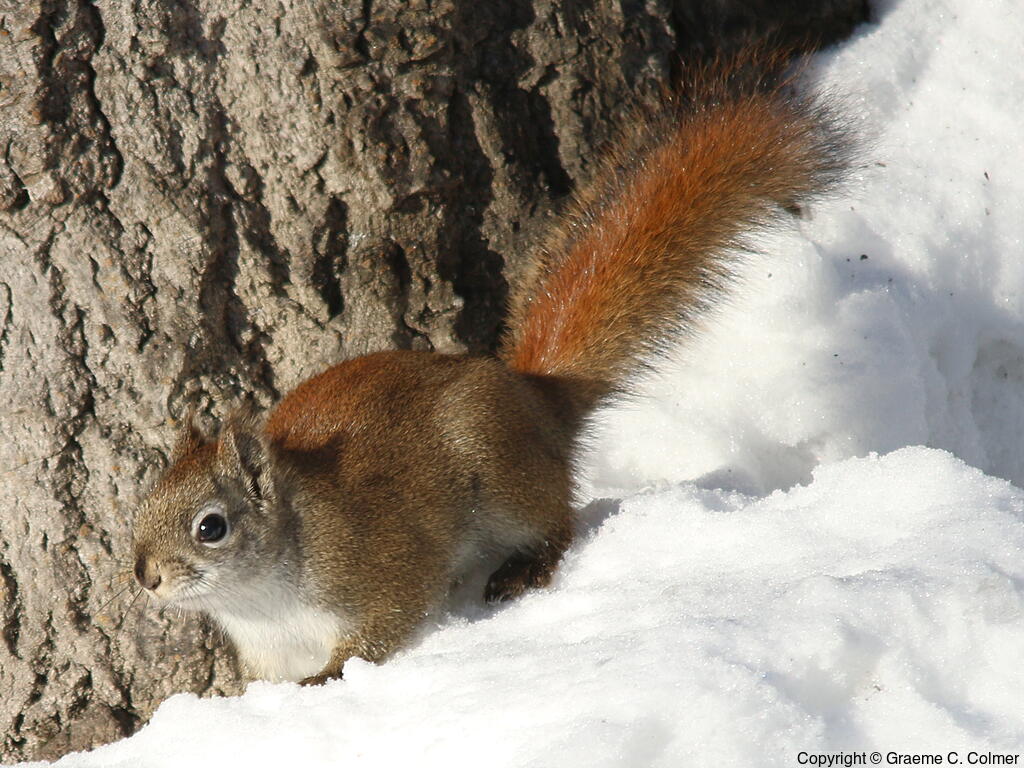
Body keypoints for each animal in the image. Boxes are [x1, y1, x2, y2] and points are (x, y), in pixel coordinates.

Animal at [130, 60, 849, 685]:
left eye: (211, 527)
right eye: (141, 508)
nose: (145, 577)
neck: (263, 597)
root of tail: (533, 398)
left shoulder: (378, 568)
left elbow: (384, 626)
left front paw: (330, 678)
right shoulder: (268, 651)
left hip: (500, 475)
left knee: (556, 522)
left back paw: (524, 568)